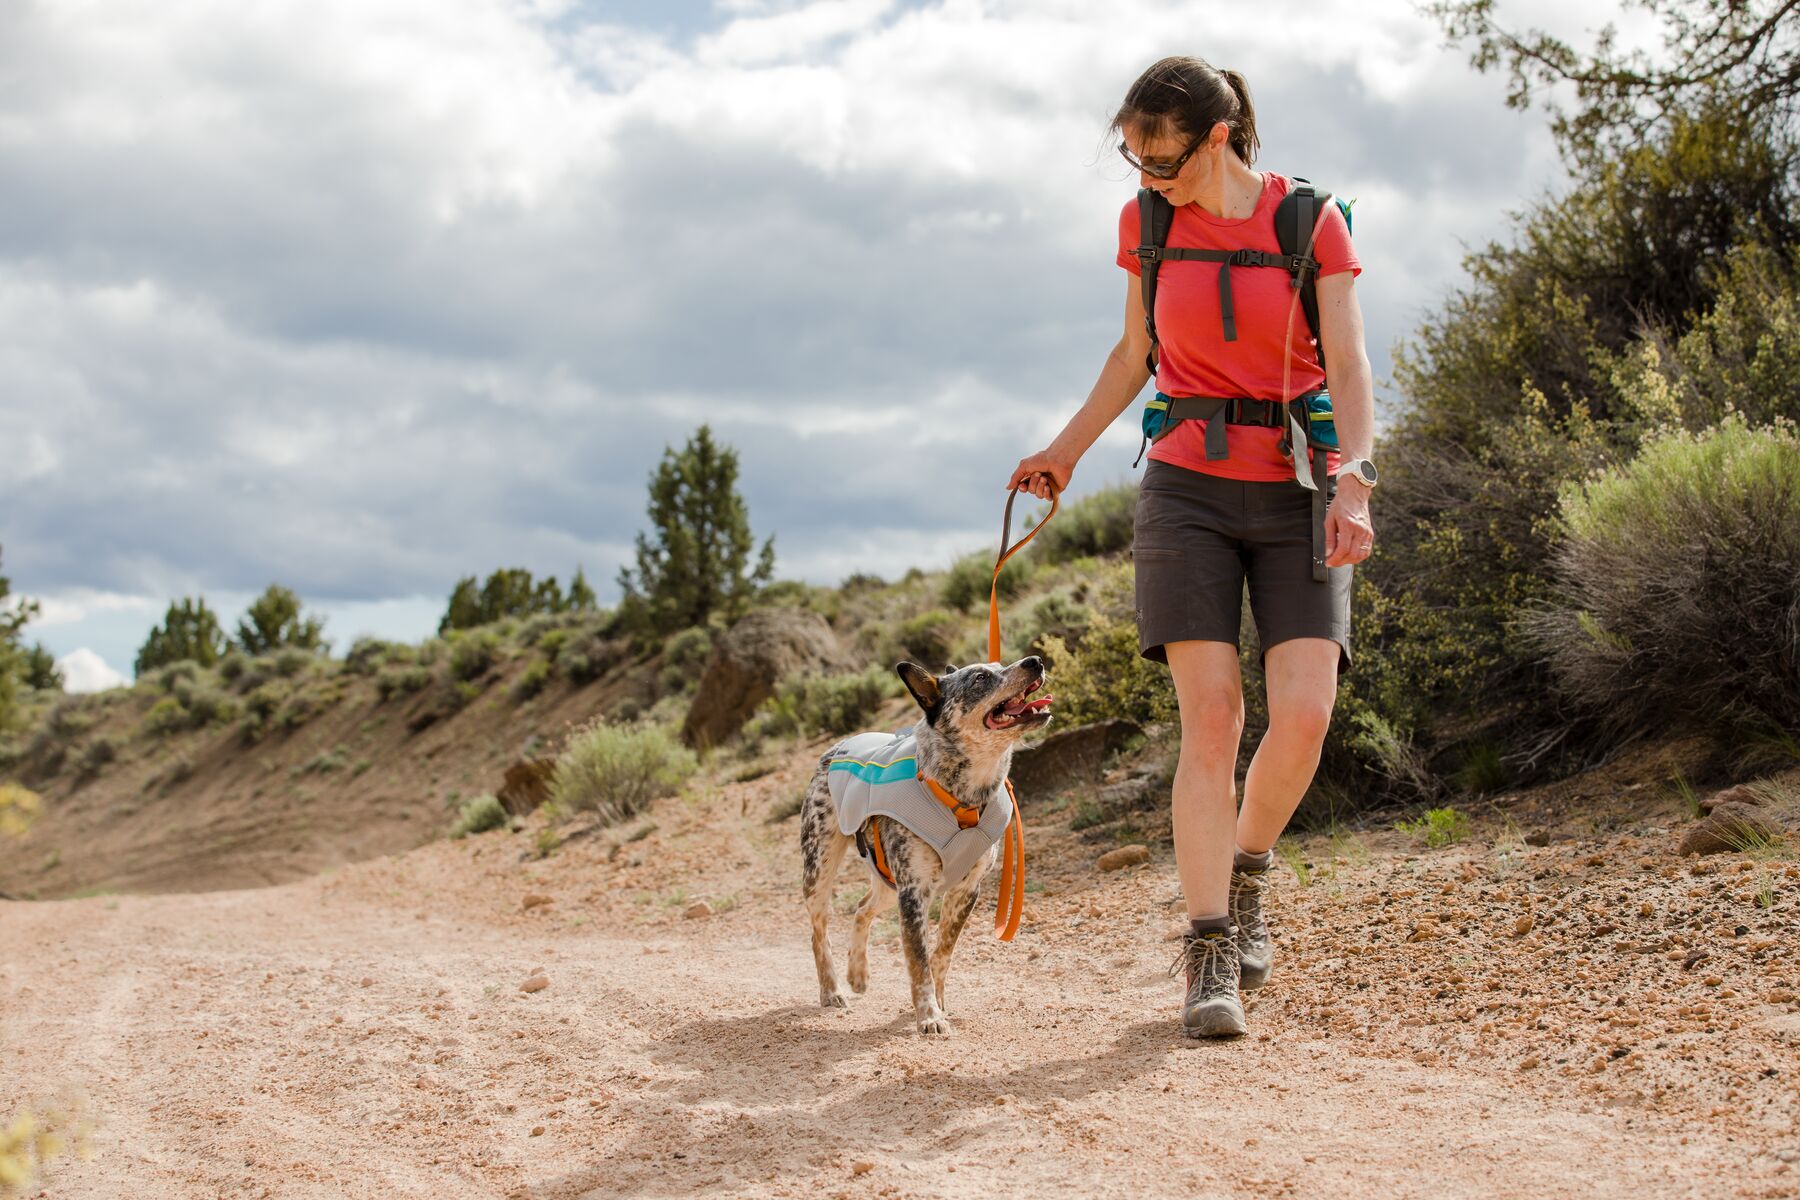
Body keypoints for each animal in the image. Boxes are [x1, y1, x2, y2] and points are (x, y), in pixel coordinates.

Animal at [795, 651, 1051, 1036]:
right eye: (979, 678)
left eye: (1001, 664)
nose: (1035, 660)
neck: (962, 798)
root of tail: (839, 744)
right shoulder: (914, 891)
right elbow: (918, 960)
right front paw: (929, 1015)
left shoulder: (965, 891)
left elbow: (941, 954)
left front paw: (939, 1004)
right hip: (821, 867)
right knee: (818, 930)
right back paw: (832, 989)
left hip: (887, 882)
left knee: (861, 908)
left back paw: (858, 974)